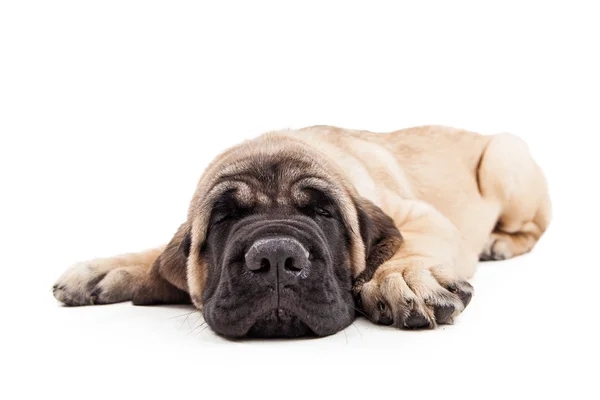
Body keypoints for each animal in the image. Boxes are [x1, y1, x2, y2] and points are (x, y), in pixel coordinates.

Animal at [54, 126, 552, 338]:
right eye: (223, 218)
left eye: (323, 213)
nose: (275, 257)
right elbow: (161, 257)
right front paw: (104, 271)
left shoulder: (421, 217)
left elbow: (408, 247)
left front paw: (403, 279)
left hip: (504, 158)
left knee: (533, 227)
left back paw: (498, 243)